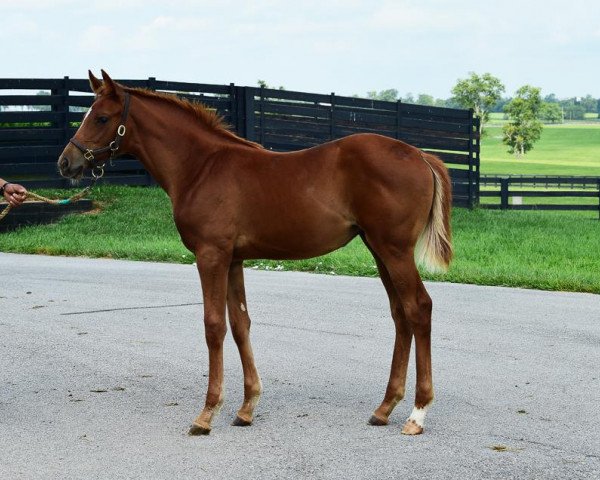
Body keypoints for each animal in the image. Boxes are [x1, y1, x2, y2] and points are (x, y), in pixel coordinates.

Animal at [58, 70, 450, 436]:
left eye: (101, 118)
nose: (66, 162)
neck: (201, 166)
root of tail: (420, 155)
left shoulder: (211, 255)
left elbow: (213, 326)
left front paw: (206, 414)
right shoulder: (233, 259)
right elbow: (240, 324)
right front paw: (246, 409)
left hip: (394, 249)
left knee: (419, 308)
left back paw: (417, 413)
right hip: (378, 249)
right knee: (400, 314)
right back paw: (384, 408)